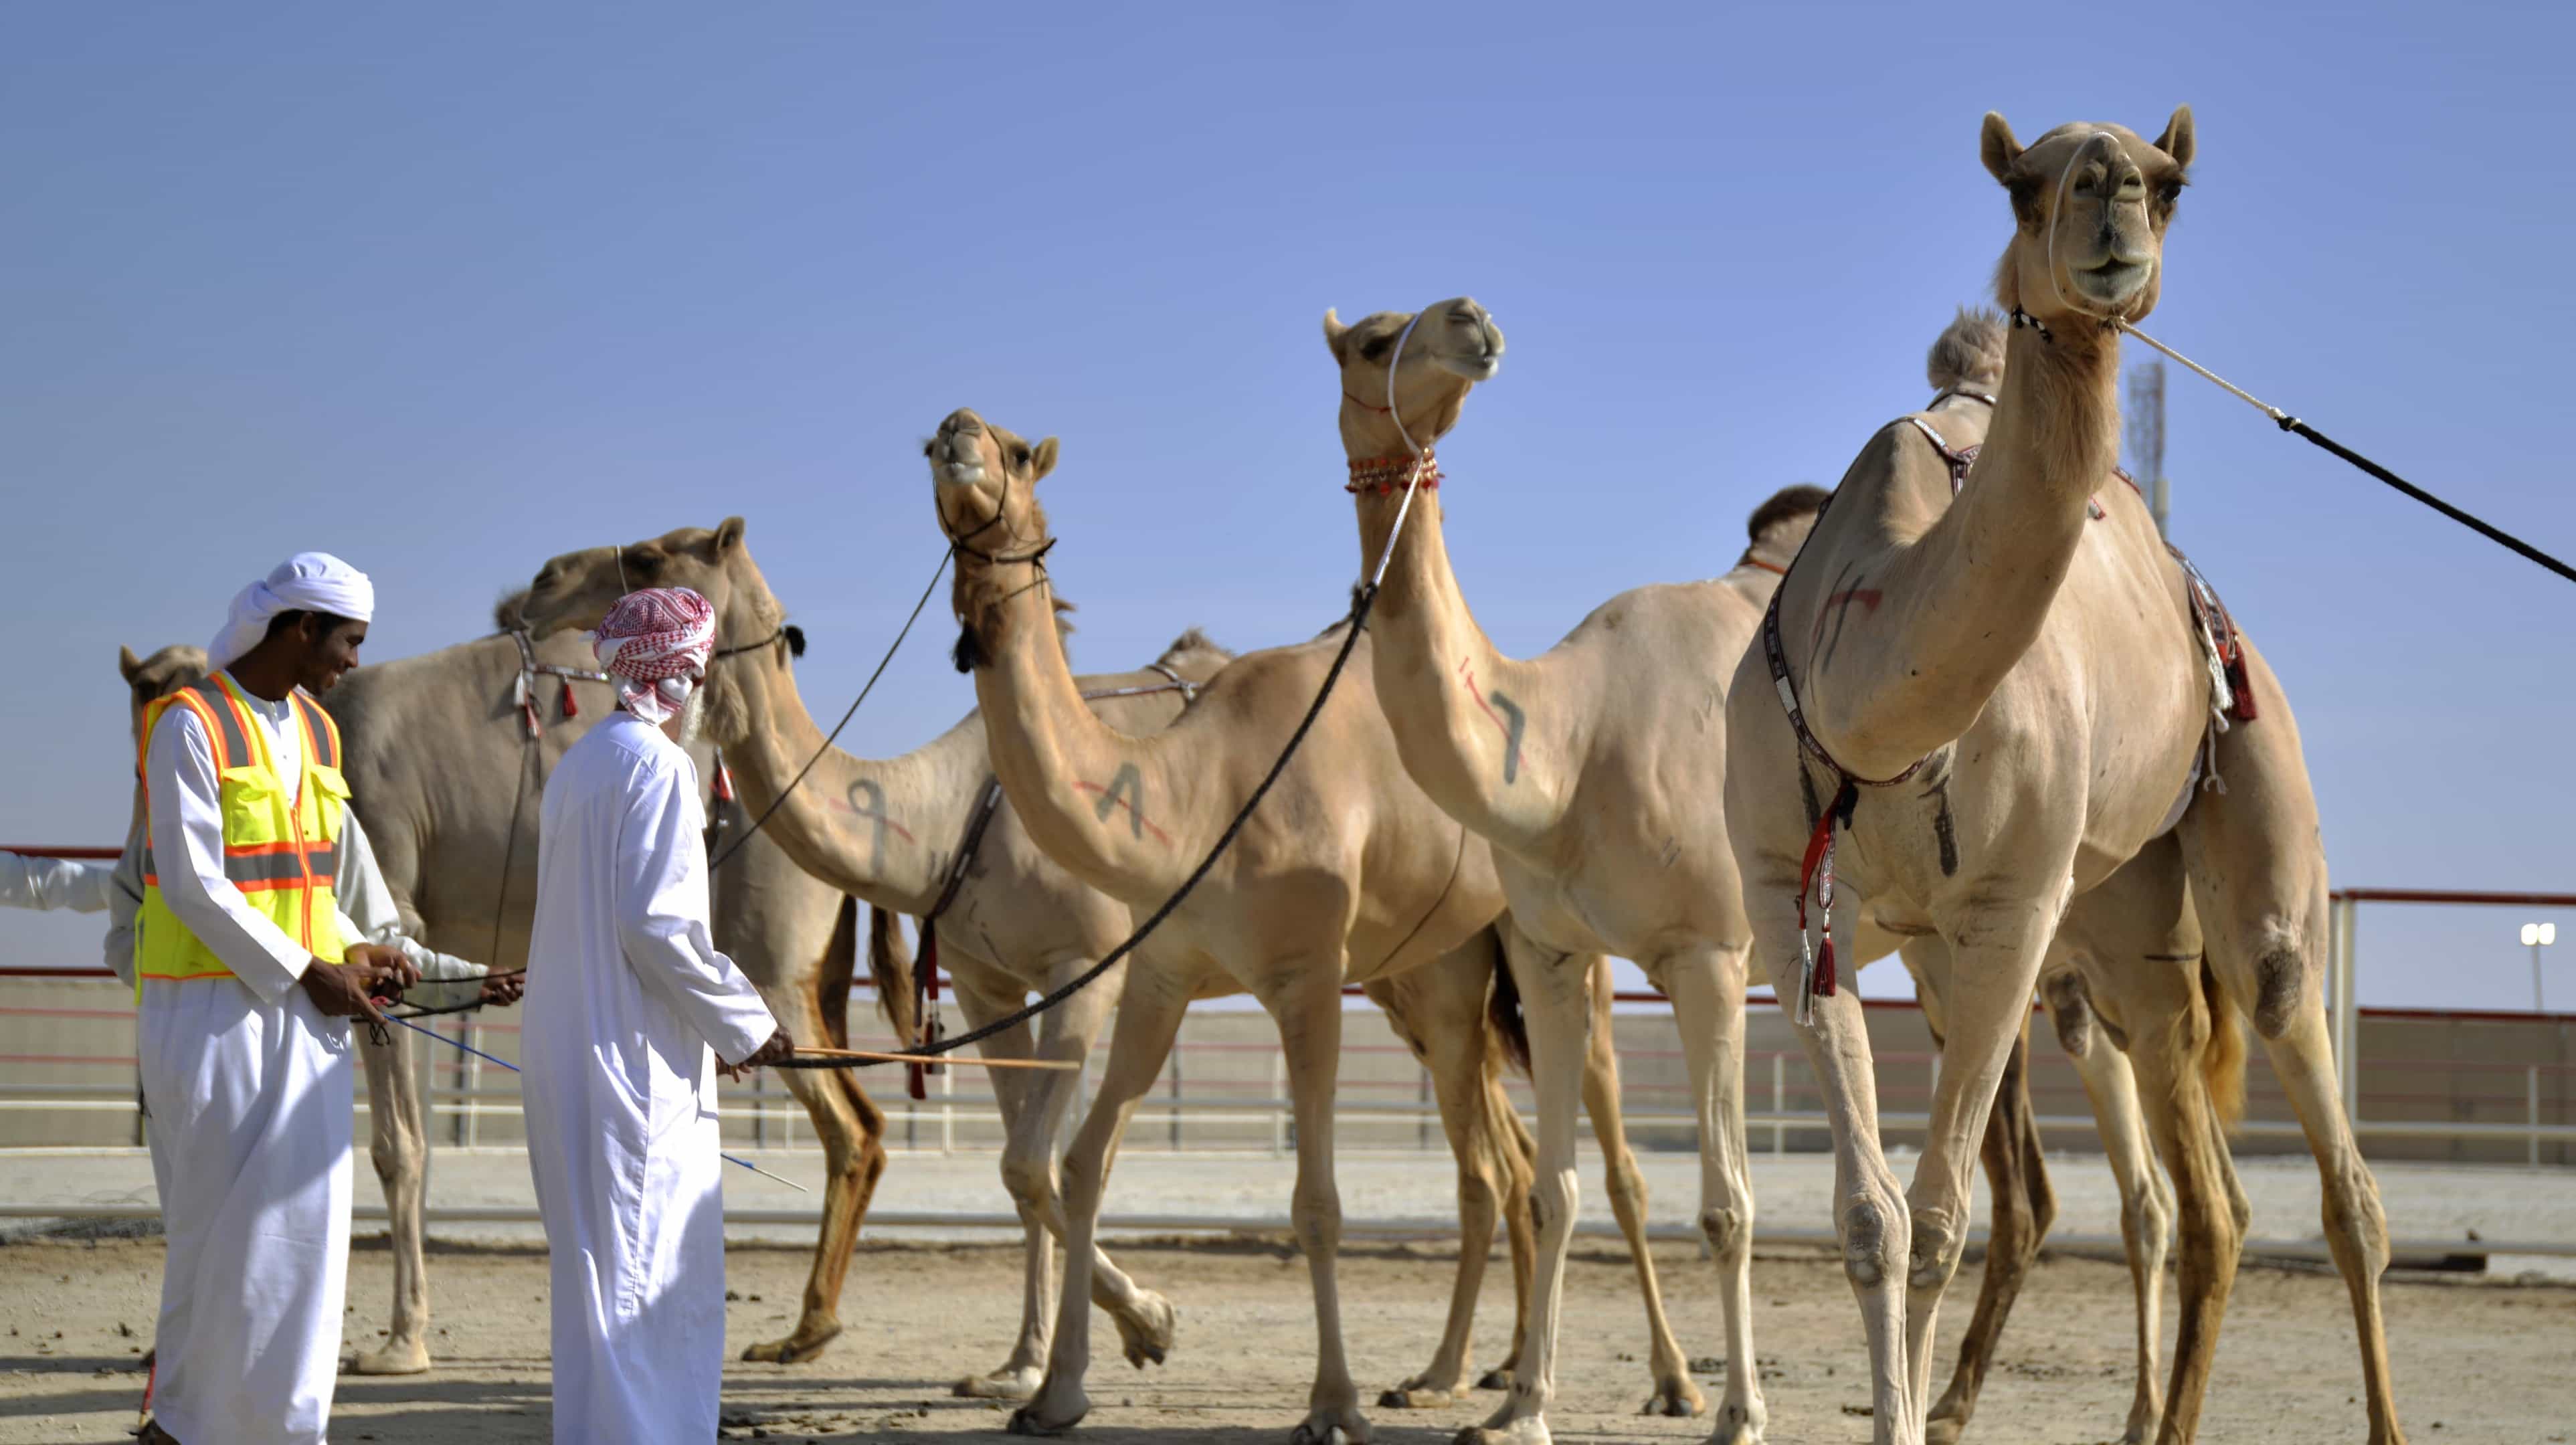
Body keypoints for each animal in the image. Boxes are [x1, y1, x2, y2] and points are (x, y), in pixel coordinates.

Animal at [511, 527, 1692, 1410]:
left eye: (649, 554)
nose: (535, 584)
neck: (952, 812)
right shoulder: (997, 984)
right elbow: (1029, 1170)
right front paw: (1026, 1365)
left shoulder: (1096, 965)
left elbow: (1041, 1166)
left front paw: (1141, 1327)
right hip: (1429, 983)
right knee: (1494, 1159)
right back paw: (1464, 1371)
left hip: (1538, 949)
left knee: (1596, 1162)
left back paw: (1659, 1381)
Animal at [1327, 296, 2197, 1445]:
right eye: (1370, 340)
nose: (1470, 323)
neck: (1564, 750)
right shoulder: (1552, 952)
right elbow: (1555, 1190)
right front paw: (1521, 1410)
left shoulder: (1708, 950)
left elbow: (1726, 1203)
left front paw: (1737, 1411)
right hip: (1934, 946)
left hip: (2051, 930)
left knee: (2134, 1175)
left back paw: (2131, 1409)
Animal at [1722, 109, 2402, 1445]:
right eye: (2026, 186)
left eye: (2174, 184)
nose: (2112, 207)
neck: (1869, 696)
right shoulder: (1794, 902)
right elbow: (1874, 1218)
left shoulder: (2010, 910)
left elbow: (1941, 1217)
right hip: (2122, 929)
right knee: (2209, 1201)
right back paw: (2153, 1418)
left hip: (2253, 829)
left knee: (2336, 1168)